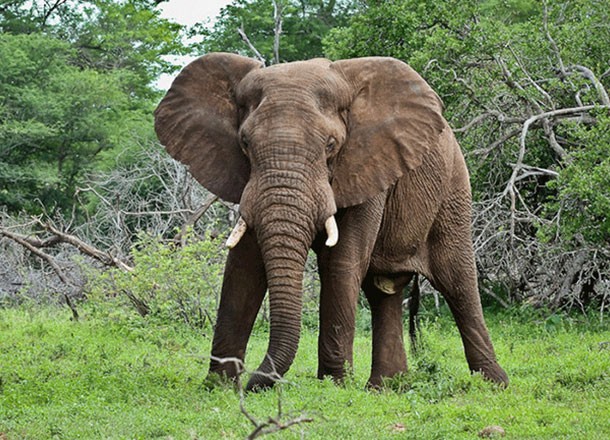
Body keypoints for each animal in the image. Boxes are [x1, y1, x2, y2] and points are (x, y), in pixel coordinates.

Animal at [153, 52, 508, 392]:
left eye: (331, 145)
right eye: (244, 144)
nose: (257, 383)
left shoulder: (366, 165)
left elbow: (340, 263)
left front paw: (334, 385)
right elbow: (243, 268)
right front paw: (219, 386)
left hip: (453, 188)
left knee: (457, 282)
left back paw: (494, 384)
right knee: (383, 292)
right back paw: (385, 388)